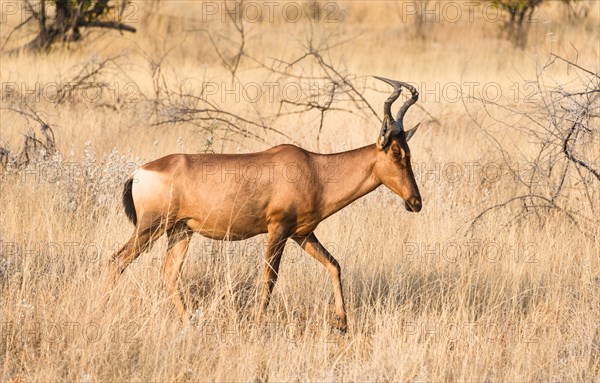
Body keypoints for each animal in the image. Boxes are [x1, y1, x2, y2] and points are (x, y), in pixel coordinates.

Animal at [106, 77, 422, 332]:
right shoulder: (278, 229)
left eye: (409, 150)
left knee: (169, 274)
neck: (314, 168)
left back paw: (190, 323)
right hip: (150, 228)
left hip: (181, 231)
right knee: (116, 261)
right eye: (396, 152)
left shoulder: (302, 234)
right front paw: (258, 325)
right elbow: (269, 278)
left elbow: (334, 265)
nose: (415, 202)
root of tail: (139, 172)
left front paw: (342, 324)